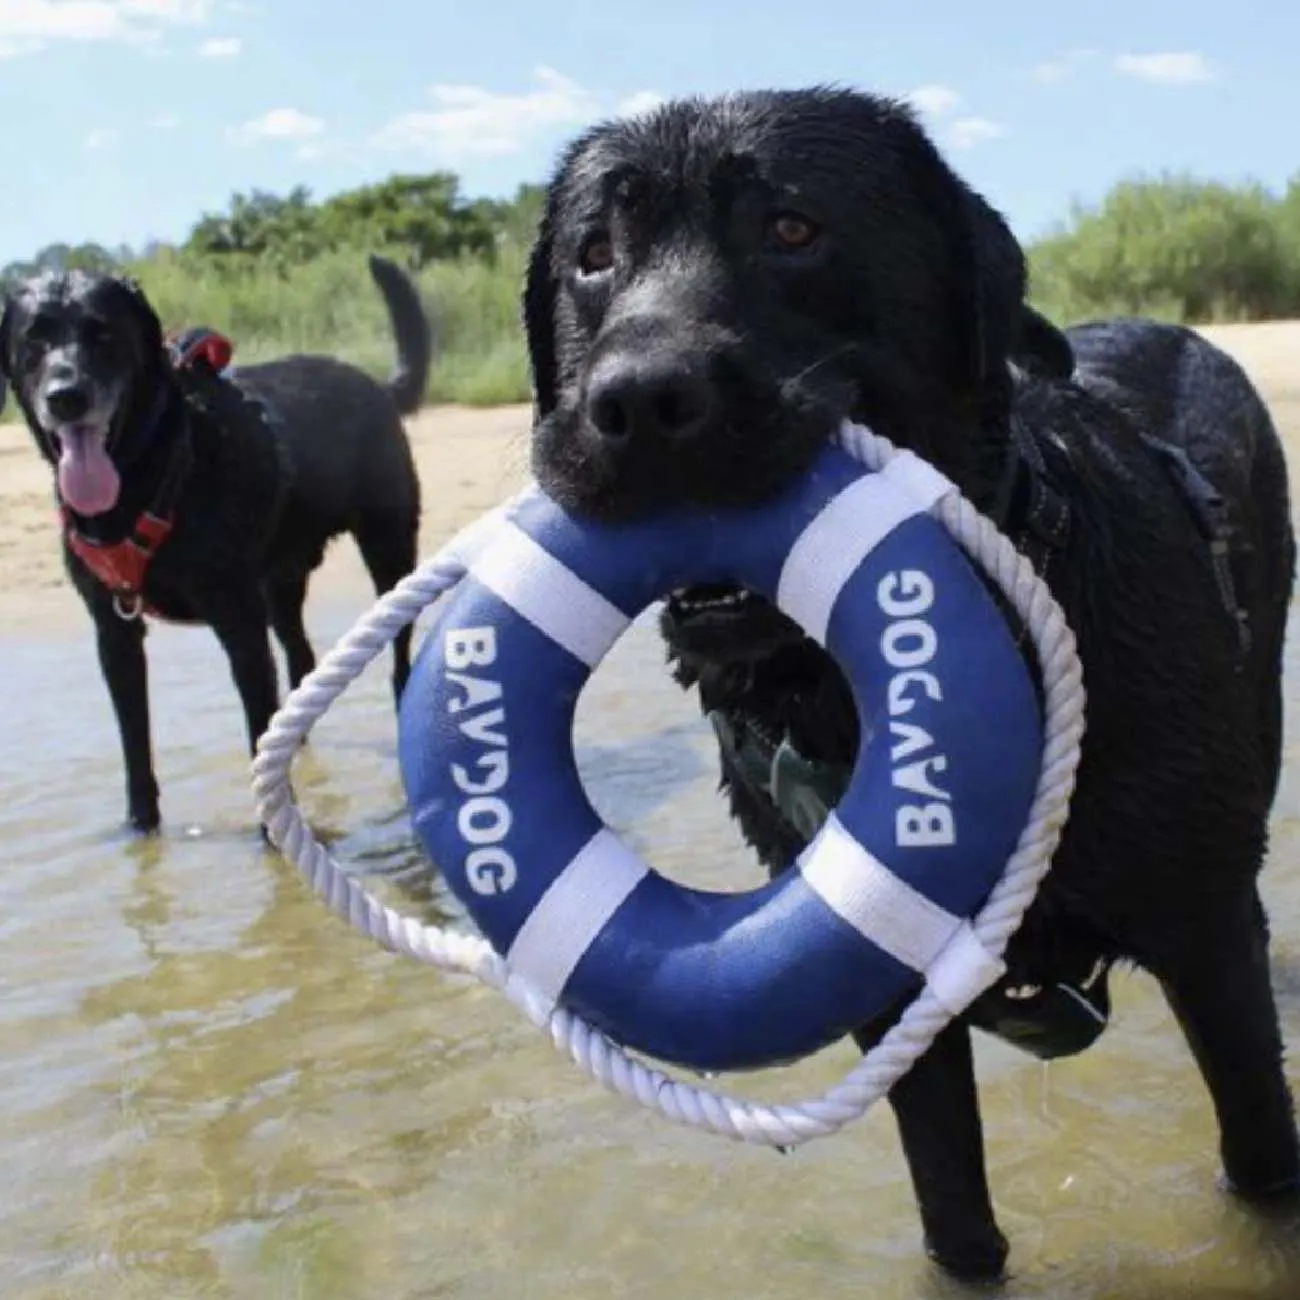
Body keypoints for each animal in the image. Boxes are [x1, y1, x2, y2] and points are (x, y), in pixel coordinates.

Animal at [525, 89, 1300, 1279]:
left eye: (792, 227)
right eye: (594, 256)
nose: (639, 398)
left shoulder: (1206, 932)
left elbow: (1260, 1157)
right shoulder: (879, 977)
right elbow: (952, 1212)